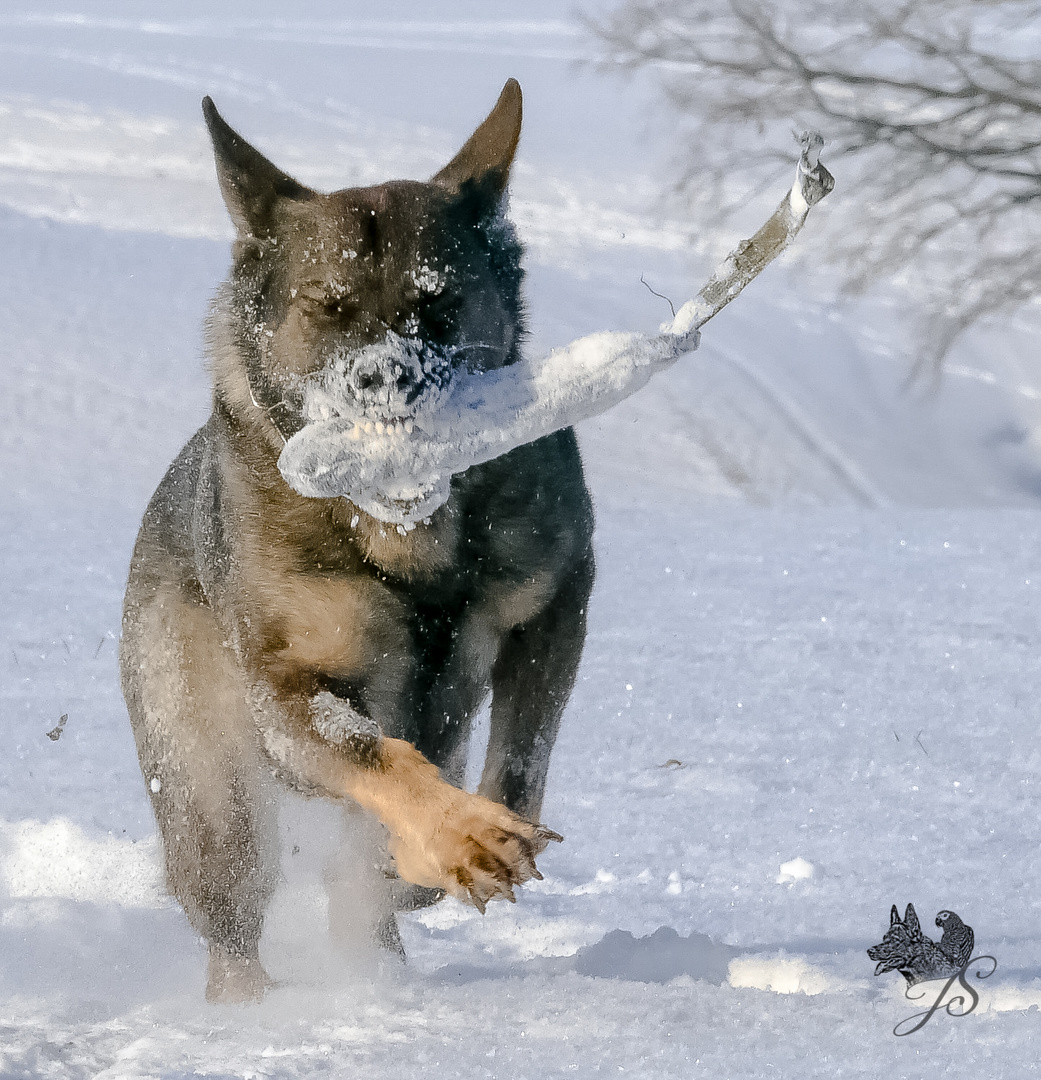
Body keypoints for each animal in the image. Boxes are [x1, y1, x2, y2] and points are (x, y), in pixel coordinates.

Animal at [119, 82, 591, 1002]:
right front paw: (458, 837)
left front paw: (448, 852)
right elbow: (378, 758)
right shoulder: (287, 691)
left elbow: (521, 760)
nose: (385, 380)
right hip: (205, 778)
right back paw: (250, 1008)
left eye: (437, 302)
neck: (410, 533)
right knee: (232, 907)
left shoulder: (553, 608)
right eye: (327, 308)